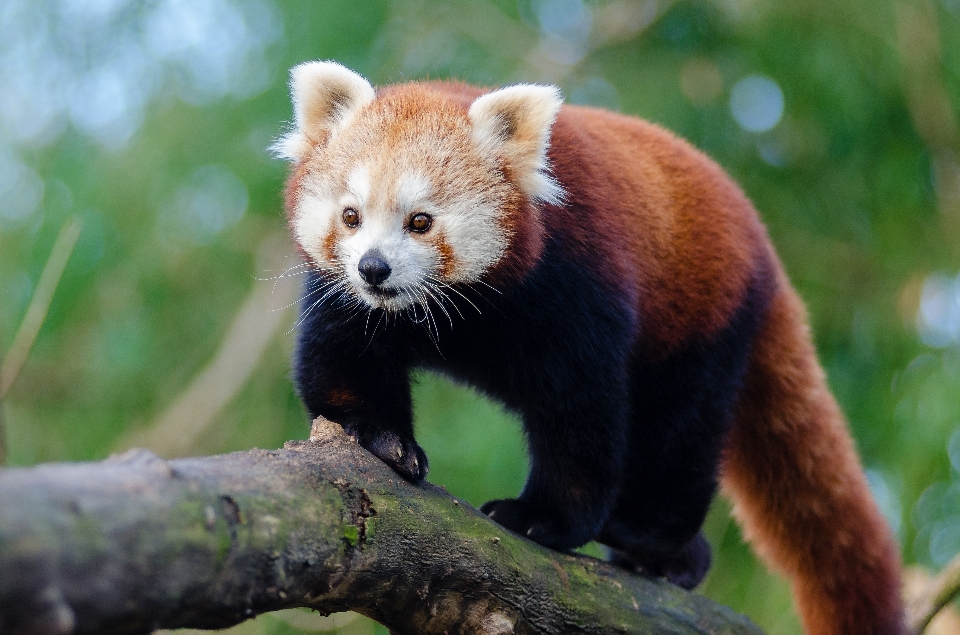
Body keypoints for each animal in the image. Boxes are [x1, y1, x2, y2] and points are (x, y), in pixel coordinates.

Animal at [276, 60, 908, 635]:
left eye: (421, 221)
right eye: (351, 216)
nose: (373, 268)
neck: (451, 312)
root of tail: (766, 255)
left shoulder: (575, 287)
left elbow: (580, 413)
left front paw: (544, 517)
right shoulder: (347, 299)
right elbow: (344, 361)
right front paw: (382, 439)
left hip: (701, 323)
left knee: (680, 433)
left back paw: (647, 534)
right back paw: (680, 561)